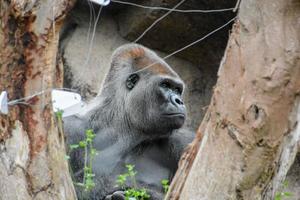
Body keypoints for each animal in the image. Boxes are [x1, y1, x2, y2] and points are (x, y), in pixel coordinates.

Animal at [63, 44, 195, 200]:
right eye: (165, 85)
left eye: (177, 89)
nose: (179, 101)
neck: (123, 128)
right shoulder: (70, 128)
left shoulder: (184, 141)